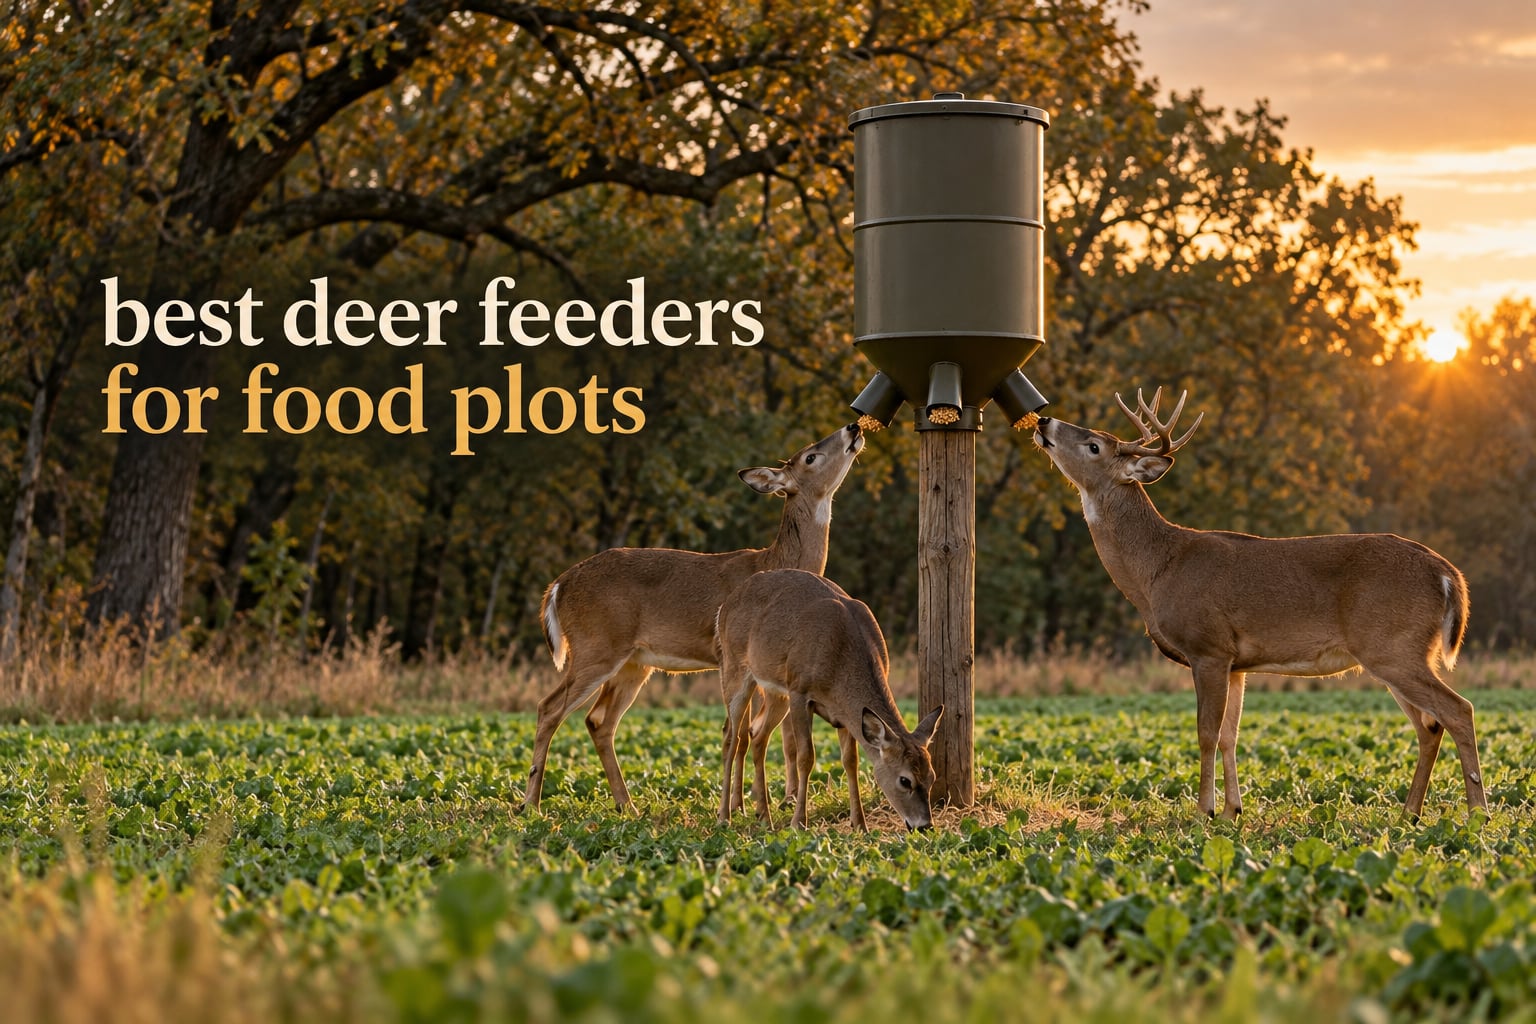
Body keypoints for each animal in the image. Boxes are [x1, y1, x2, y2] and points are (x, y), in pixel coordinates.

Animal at [523, 422, 865, 814]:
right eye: (810, 456)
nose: (853, 427)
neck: (775, 562)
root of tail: (558, 585)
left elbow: (762, 734)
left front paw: (753, 802)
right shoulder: (738, 658)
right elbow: (744, 733)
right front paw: (742, 806)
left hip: (634, 663)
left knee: (598, 721)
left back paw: (628, 806)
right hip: (596, 647)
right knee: (549, 708)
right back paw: (531, 804)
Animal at [715, 568, 943, 831]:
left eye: (932, 776)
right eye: (905, 780)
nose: (925, 825)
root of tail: (724, 606)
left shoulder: (844, 713)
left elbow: (850, 761)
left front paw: (860, 824)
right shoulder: (800, 692)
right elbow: (806, 757)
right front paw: (798, 822)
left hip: (776, 692)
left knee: (757, 735)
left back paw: (763, 816)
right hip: (735, 669)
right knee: (731, 737)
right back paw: (724, 816)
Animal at [1033, 387, 1487, 821]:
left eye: (1094, 445)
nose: (1044, 420)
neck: (1158, 569)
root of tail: (1447, 574)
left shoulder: (1208, 647)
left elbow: (1206, 733)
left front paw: (1203, 812)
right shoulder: (1237, 663)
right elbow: (1230, 734)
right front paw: (1232, 811)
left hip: (1393, 646)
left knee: (1458, 710)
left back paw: (1476, 814)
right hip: (1396, 653)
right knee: (1430, 726)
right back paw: (1410, 814)